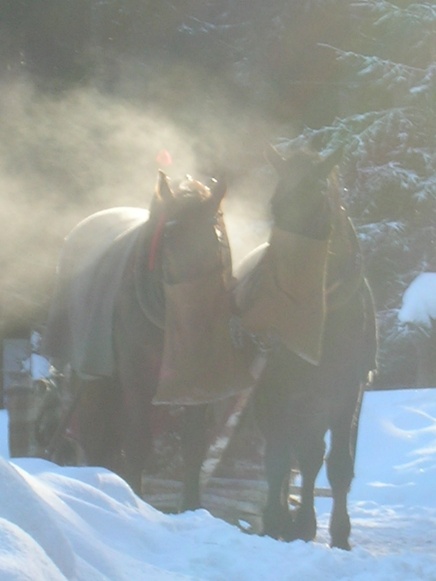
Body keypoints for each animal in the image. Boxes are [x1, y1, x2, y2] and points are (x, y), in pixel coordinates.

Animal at [43, 171, 250, 494]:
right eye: (167, 239)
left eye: (218, 242)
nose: (197, 327)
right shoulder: (136, 377)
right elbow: (138, 444)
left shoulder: (198, 381)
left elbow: (194, 447)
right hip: (92, 374)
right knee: (93, 432)